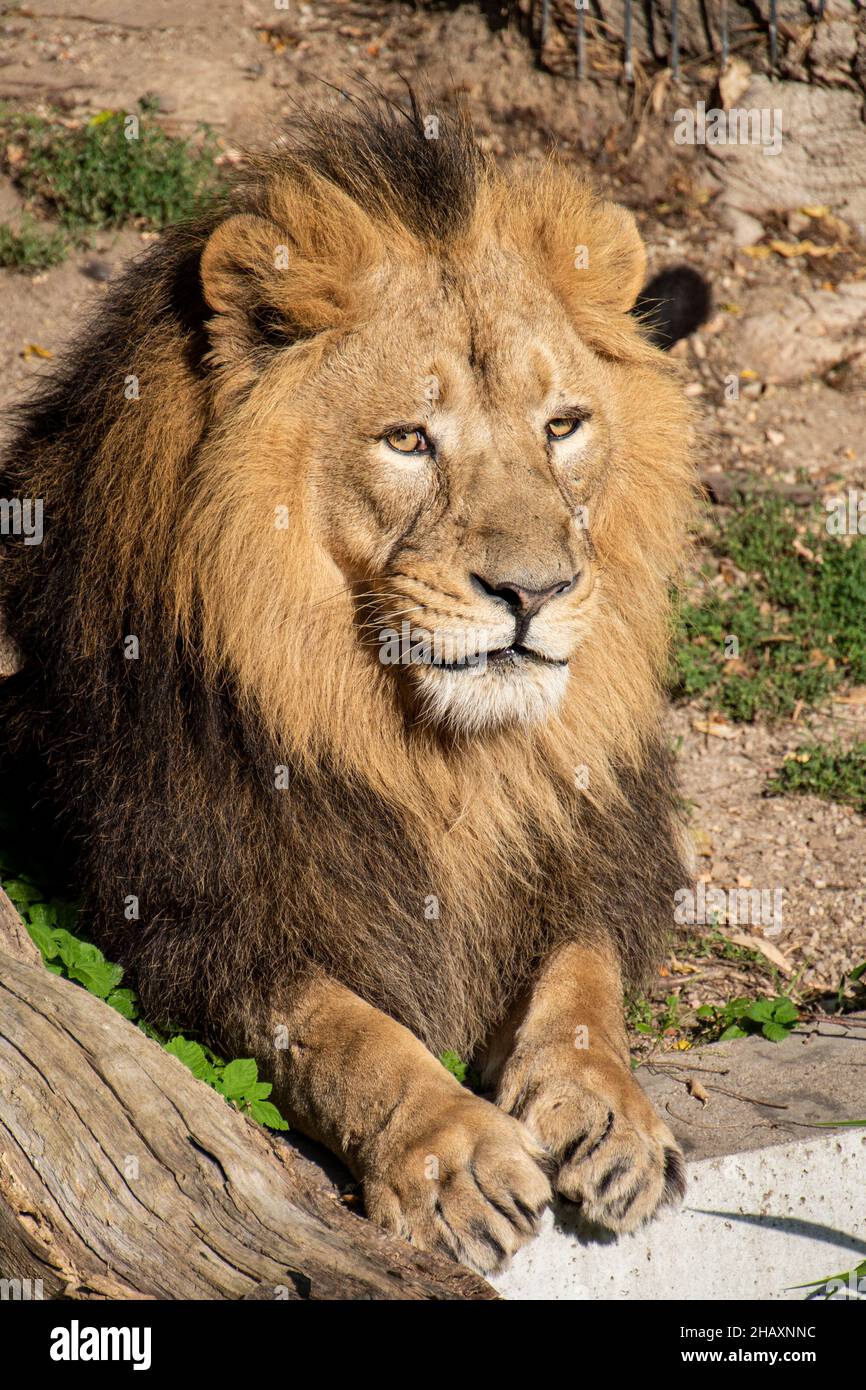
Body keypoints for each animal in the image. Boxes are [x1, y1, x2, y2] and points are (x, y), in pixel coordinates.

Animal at [1, 95, 706, 1273]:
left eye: (562, 426)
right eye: (408, 440)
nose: (535, 590)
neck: (434, 751)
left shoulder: (594, 839)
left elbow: (583, 975)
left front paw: (609, 1114)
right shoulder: (191, 906)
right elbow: (344, 1032)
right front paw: (451, 1157)